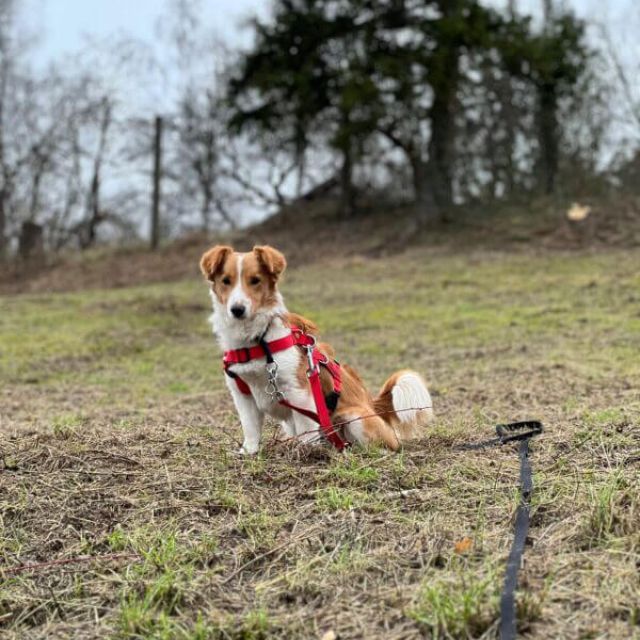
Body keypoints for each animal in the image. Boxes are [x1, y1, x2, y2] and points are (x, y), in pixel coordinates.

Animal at [200, 245, 432, 456]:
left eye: (255, 280)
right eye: (226, 281)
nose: (237, 310)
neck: (257, 340)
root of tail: (373, 406)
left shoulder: (299, 393)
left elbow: (307, 432)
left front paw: (307, 453)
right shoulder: (242, 395)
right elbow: (250, 429)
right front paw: (249, 452)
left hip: (354, 418)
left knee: (388, 444)